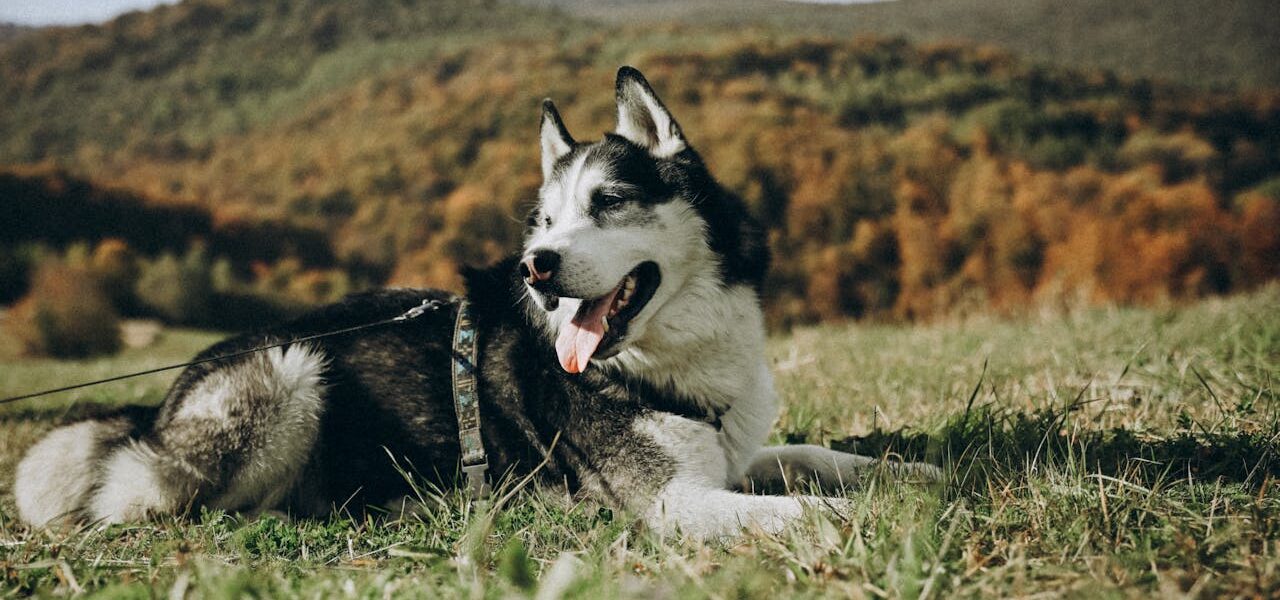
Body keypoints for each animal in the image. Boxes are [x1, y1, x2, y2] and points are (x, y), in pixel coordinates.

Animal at [15, 66, 936, 537]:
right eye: (545, 220)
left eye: (608, 202)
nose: (536, 266)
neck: (669, 359)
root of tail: (161, 404)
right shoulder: (674, 502)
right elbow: (801, 507)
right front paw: (871, 515)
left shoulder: (733, 454)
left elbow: (813, 456)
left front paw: (908, 472)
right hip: (287, 371)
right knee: (151, 501)